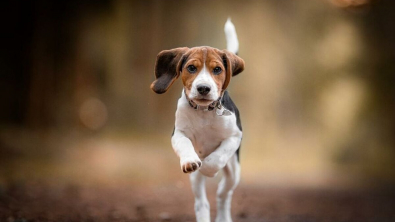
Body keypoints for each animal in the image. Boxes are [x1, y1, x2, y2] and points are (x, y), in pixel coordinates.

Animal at [151, 19, 244, 222]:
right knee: (202, 203)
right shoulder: (178, 134)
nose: (203, 88)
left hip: (234, 171)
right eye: (191, 68)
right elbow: (185, 144)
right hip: (196, 182)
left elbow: (218, 156)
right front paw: (190, 161)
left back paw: (223, 215)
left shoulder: (234, 136)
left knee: (223, 193)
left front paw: (208, 167)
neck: (203, 111)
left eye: (217, 69)